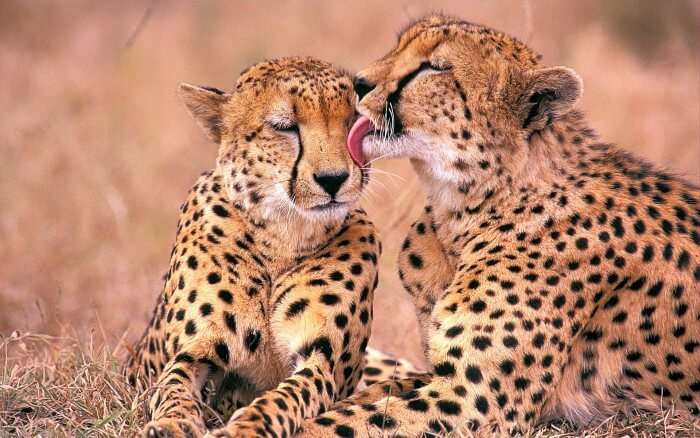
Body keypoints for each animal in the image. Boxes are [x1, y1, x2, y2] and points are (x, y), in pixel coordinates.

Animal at [126, 58, 392, 438]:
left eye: (353, 123)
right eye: (284, 127)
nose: (333, 179)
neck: (283, 235)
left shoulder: (323, 361)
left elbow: (286, 396)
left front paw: (248, 426)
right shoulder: (195, 350)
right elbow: (174, 385)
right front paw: (171, 423)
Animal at [302, 15, 700, 436]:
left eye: (434, 67)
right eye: (400, 46)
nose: (358, 83)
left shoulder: (474, 401)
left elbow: (336, 423)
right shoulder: (440, 376)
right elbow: (362, 396)